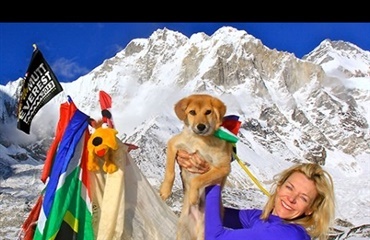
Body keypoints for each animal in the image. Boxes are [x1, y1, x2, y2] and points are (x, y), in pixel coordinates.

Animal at [158, 94, 231, 240]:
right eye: (192, 112)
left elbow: (198, 179)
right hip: (182, 232)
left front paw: (193, 196)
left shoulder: (223, 167)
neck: (198, 140)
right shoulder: (174, 144)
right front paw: (165, 190)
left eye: (208, 112)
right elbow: (170, 171)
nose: (201, 126)